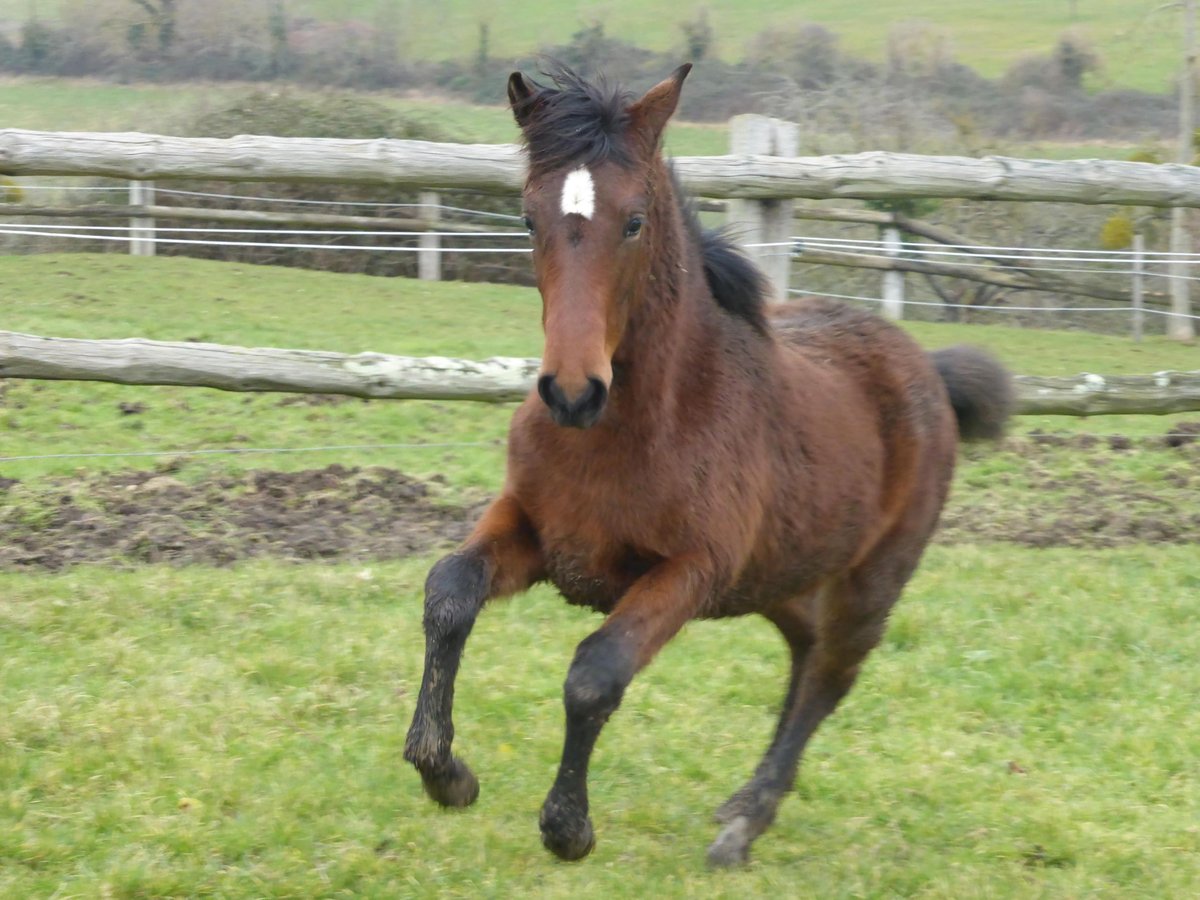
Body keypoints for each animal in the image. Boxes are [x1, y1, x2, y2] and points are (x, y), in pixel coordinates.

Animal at [403, 61, 1012, 868]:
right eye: (529, 219)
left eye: (633, 222)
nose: (572, 391)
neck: (635, 429)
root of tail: (928, 372)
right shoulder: (534, 527)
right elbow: (448, 593)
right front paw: (446, 773)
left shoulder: (693, 570)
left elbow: (596, 671)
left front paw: (567, 827)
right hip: (785, 573)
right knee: (806, 652)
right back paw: (745, 804)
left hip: (872, 580)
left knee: (831, 675)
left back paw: (745, 824)